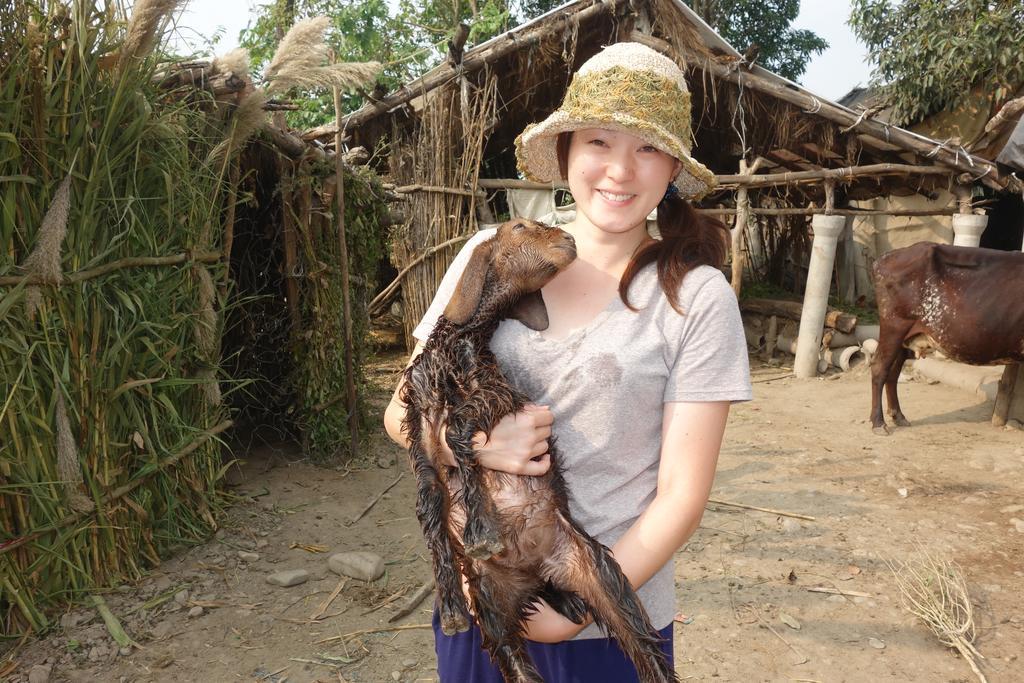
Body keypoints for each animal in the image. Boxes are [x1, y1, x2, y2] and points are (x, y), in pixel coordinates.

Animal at [399, 220, 679, 683]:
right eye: (520, 226)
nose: (569, 239)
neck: (454, 345)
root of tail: (534, 571)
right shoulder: (420, 428)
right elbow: (429, 507)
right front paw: (453, 608)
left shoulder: (497, 397)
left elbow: (458, 433)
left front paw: (480, 532)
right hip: (492, 604)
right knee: (513, 656)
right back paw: (562, 601)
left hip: (597, 568)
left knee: (642, 642)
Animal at [872, 242, 1024, 436]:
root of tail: (885, 257)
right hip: (894, 327)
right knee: (879, 369)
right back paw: (878, 423)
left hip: (903, 337)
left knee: (893, 373)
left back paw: (898, 416)